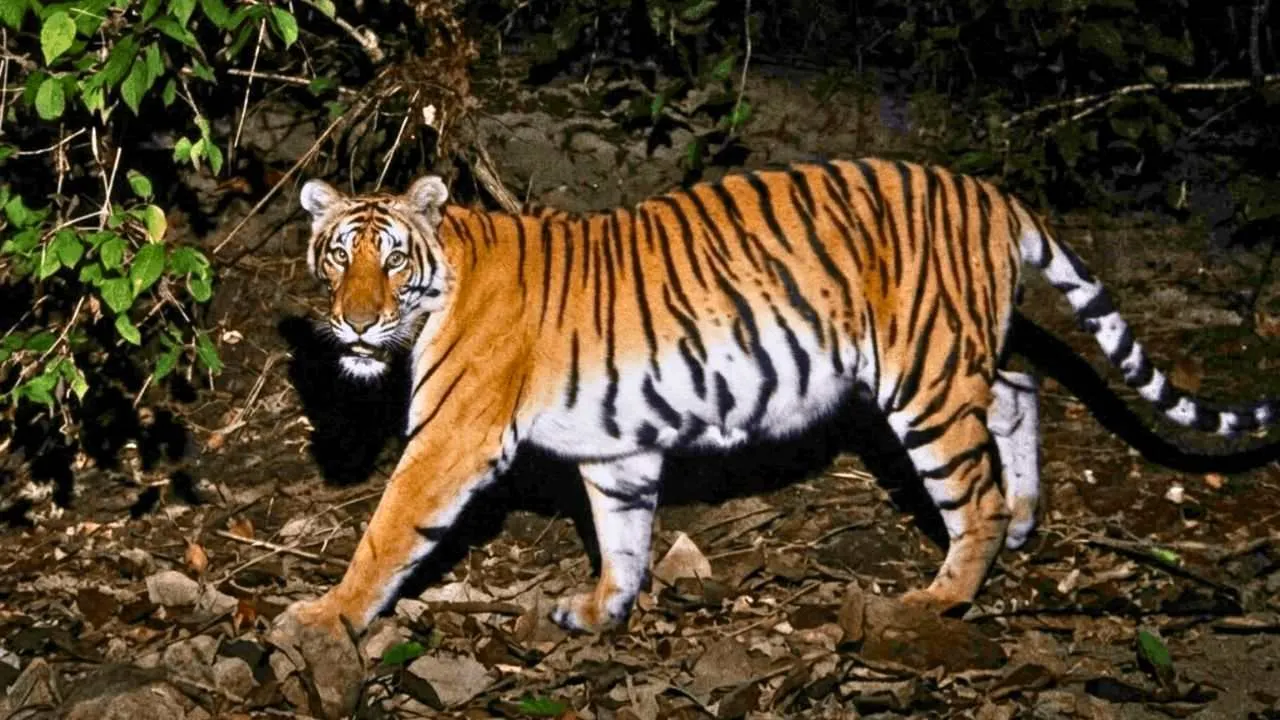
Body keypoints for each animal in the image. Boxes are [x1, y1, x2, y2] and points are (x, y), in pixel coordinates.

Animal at [290, 158, 1276, 636]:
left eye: (392, 262)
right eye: (339, 258)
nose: (355, 323)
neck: (445, 274)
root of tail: (991, 193)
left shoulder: (451, 438)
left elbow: (387, 532)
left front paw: (327, 619)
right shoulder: (617, 451)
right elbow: (623, 533)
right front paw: (604, 610)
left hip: (921, 375)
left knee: (976, 491)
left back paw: (939, 599)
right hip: (956, 360)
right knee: (1020, 387)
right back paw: (1030, 519)